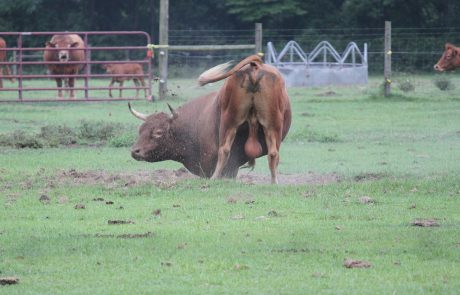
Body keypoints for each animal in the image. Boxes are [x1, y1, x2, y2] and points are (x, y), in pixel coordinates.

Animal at [129, 55, 292, 184]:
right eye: (140, 130)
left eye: (158, 132)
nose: (135, 151)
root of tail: (255, 67)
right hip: (260, 124)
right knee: (269, 153)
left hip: (237, 123)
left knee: (230, 150)